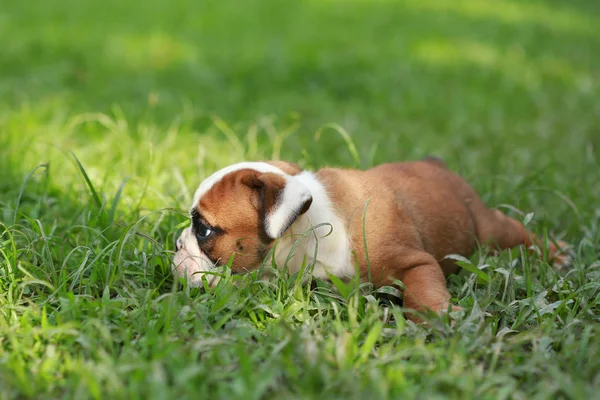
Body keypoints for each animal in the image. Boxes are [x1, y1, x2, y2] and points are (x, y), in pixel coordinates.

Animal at [172, 158, 568, 318]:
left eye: (203, 229)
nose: (177, 244)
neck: (312, 227)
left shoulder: (415, 262)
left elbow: (421, 294)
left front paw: (441, 317)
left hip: (488, 229)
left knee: (516, 232)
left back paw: (558, 254)